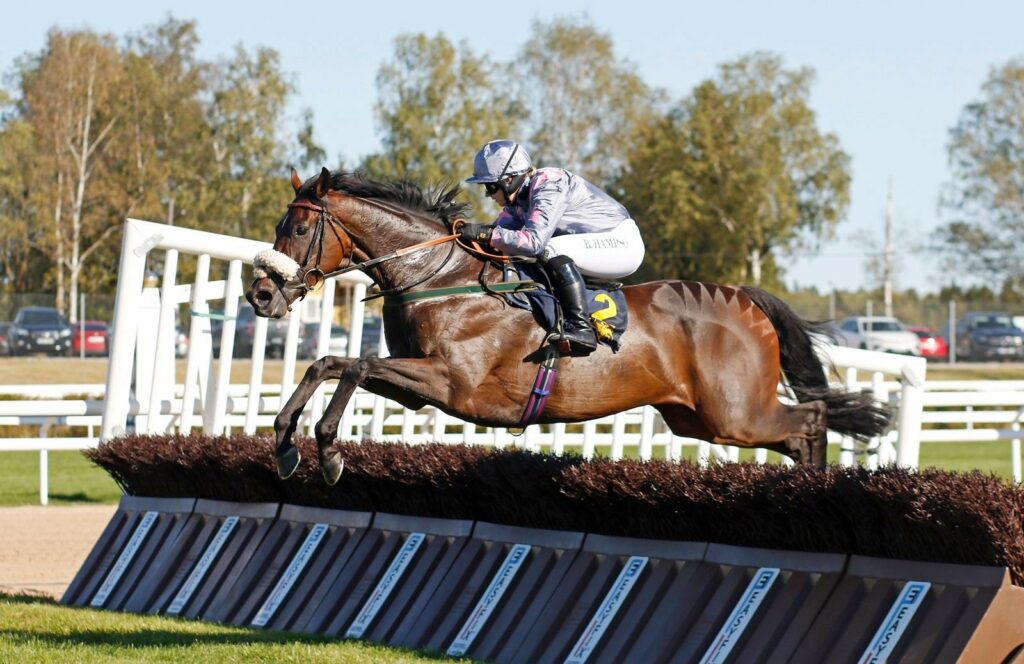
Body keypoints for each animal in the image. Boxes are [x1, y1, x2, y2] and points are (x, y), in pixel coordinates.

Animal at [245, 169, 888, 485]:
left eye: (297, 229)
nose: (261, 294)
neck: (439, 275)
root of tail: (745, 299)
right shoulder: (416, 384)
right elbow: (330, 363)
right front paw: (284, 443)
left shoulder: (449, 382)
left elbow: (350, 362)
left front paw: (328, 450)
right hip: (699, 419)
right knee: (800, 431)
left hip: (734, 413)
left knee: (811, 419)